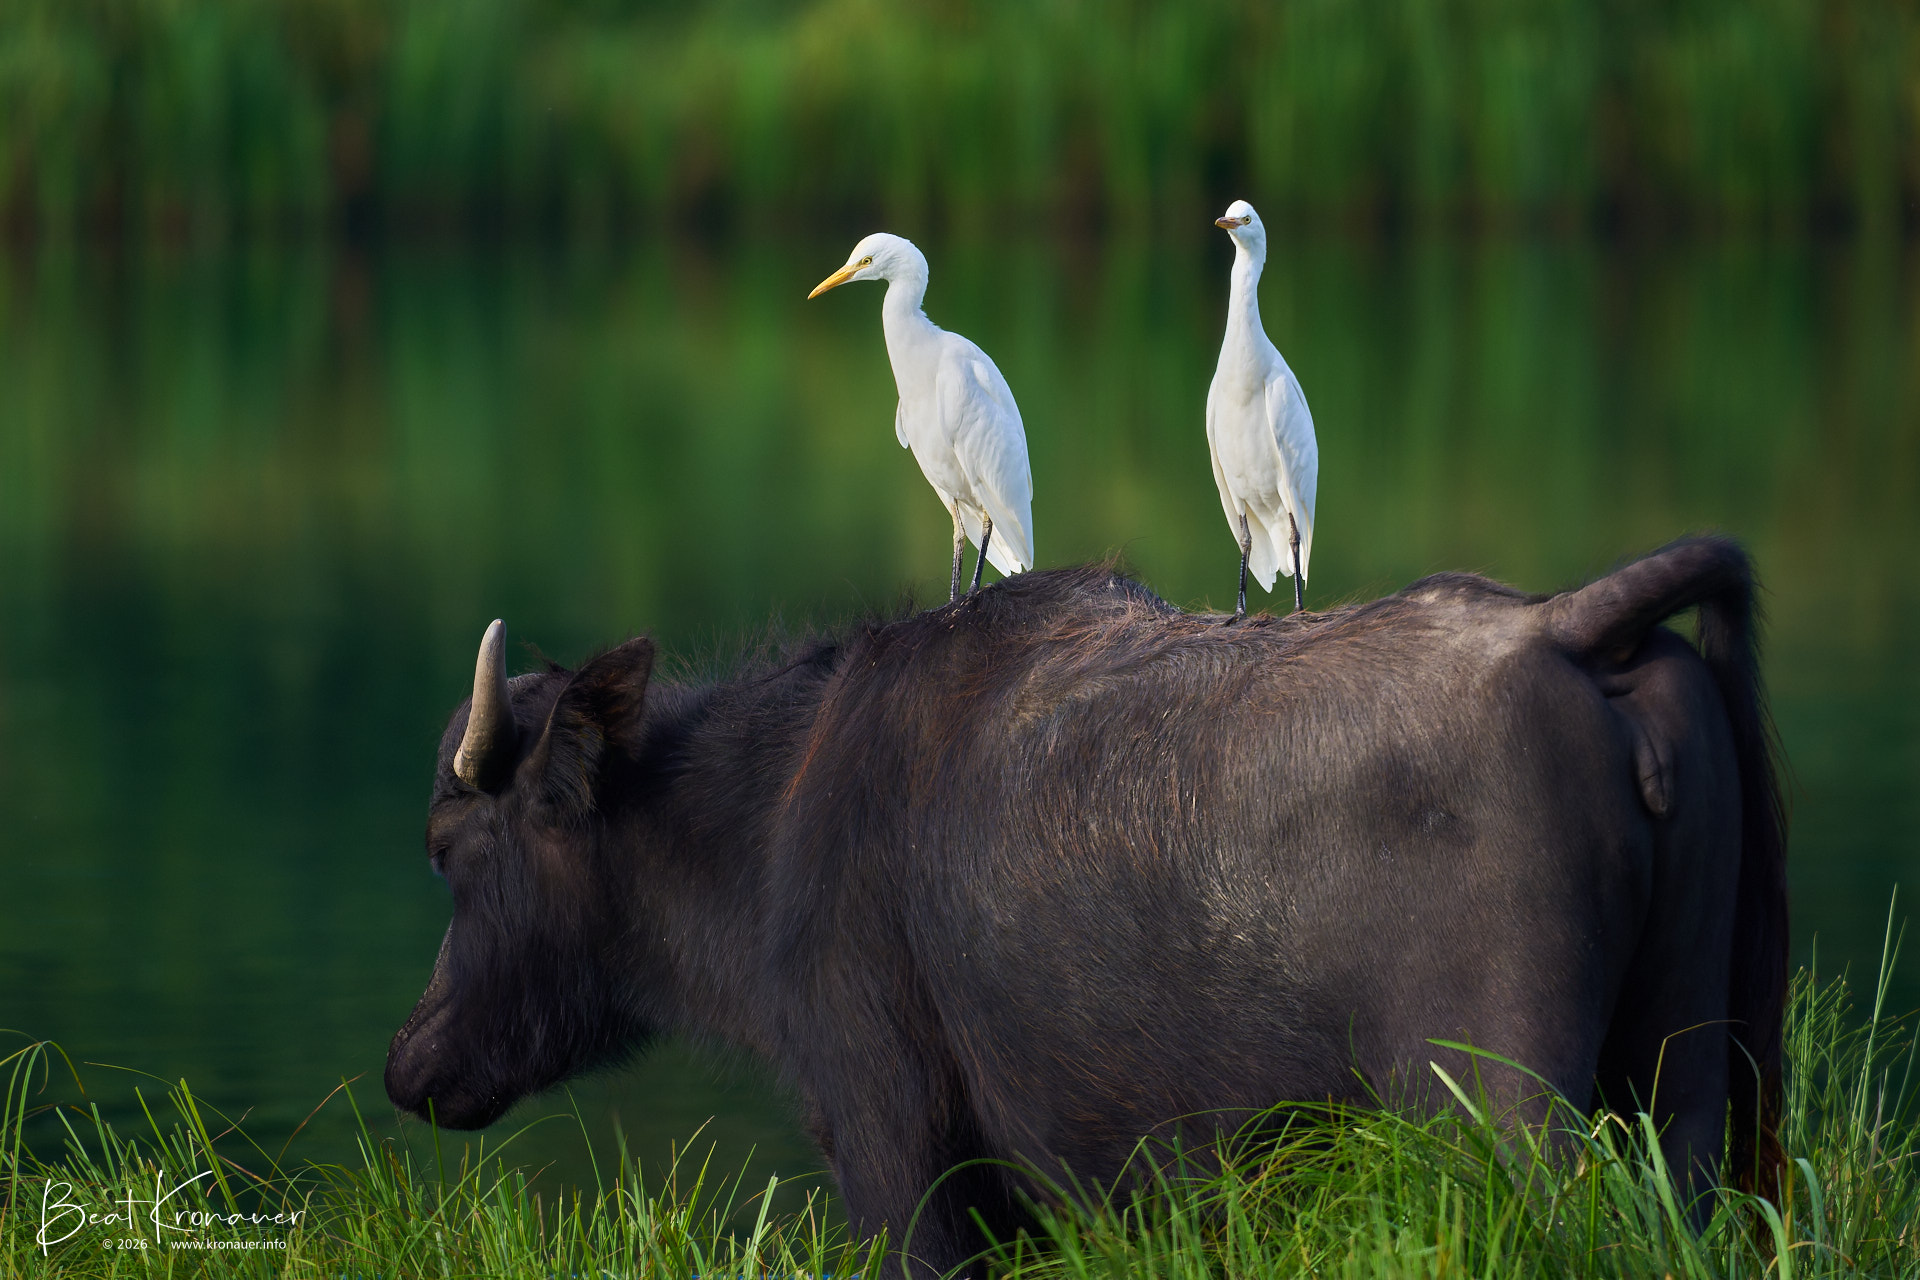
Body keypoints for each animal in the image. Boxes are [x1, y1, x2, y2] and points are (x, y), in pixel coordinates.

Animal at [386, 536, 1786, 1277]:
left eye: (449, 844)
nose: (409, 1059)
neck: (755, 844)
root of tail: (1580, 625)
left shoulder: (891, 1135)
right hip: (1689, 1071)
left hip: (1507, 1099)